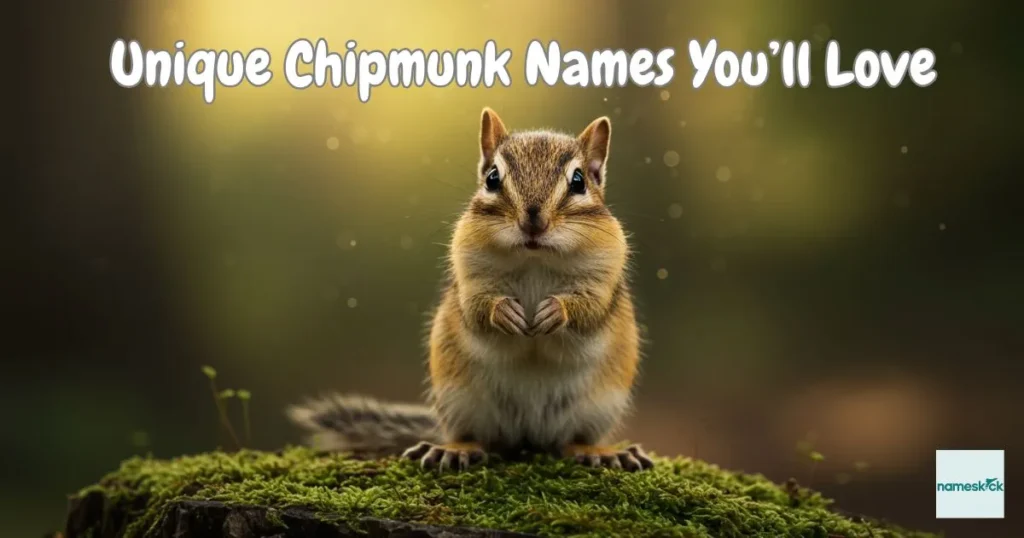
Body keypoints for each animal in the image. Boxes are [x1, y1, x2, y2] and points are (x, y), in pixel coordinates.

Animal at [288, 108, 652, 472]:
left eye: (578, 181)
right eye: (492, 178)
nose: (533, 221)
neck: (534, 257)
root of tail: (529, 437)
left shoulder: (604, 274)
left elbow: (590, 308)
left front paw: (555, 310)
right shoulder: (468, 271)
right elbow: (475, 306)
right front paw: (503, 311)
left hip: (598, 408)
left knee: (570, 442)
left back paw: (600, 452)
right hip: (460, 401)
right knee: (479, 438)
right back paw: (453, 449)